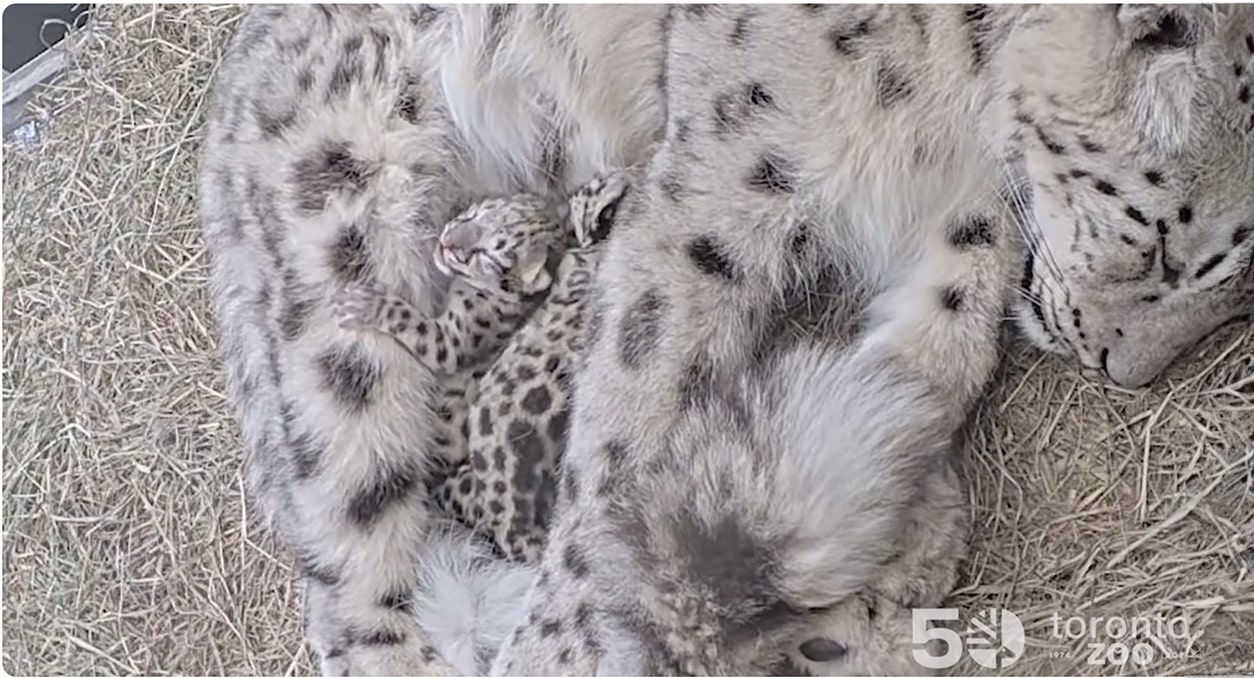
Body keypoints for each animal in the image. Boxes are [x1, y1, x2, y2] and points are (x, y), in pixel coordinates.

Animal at [198, 4, 1254, 676]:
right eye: (1165, 242)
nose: (1121, 369)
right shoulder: (720, 176)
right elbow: (630, 410)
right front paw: (570, 644)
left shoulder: (965, 217)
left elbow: (939, 355)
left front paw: (872, 557)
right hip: (338, 274)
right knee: (351, 581)